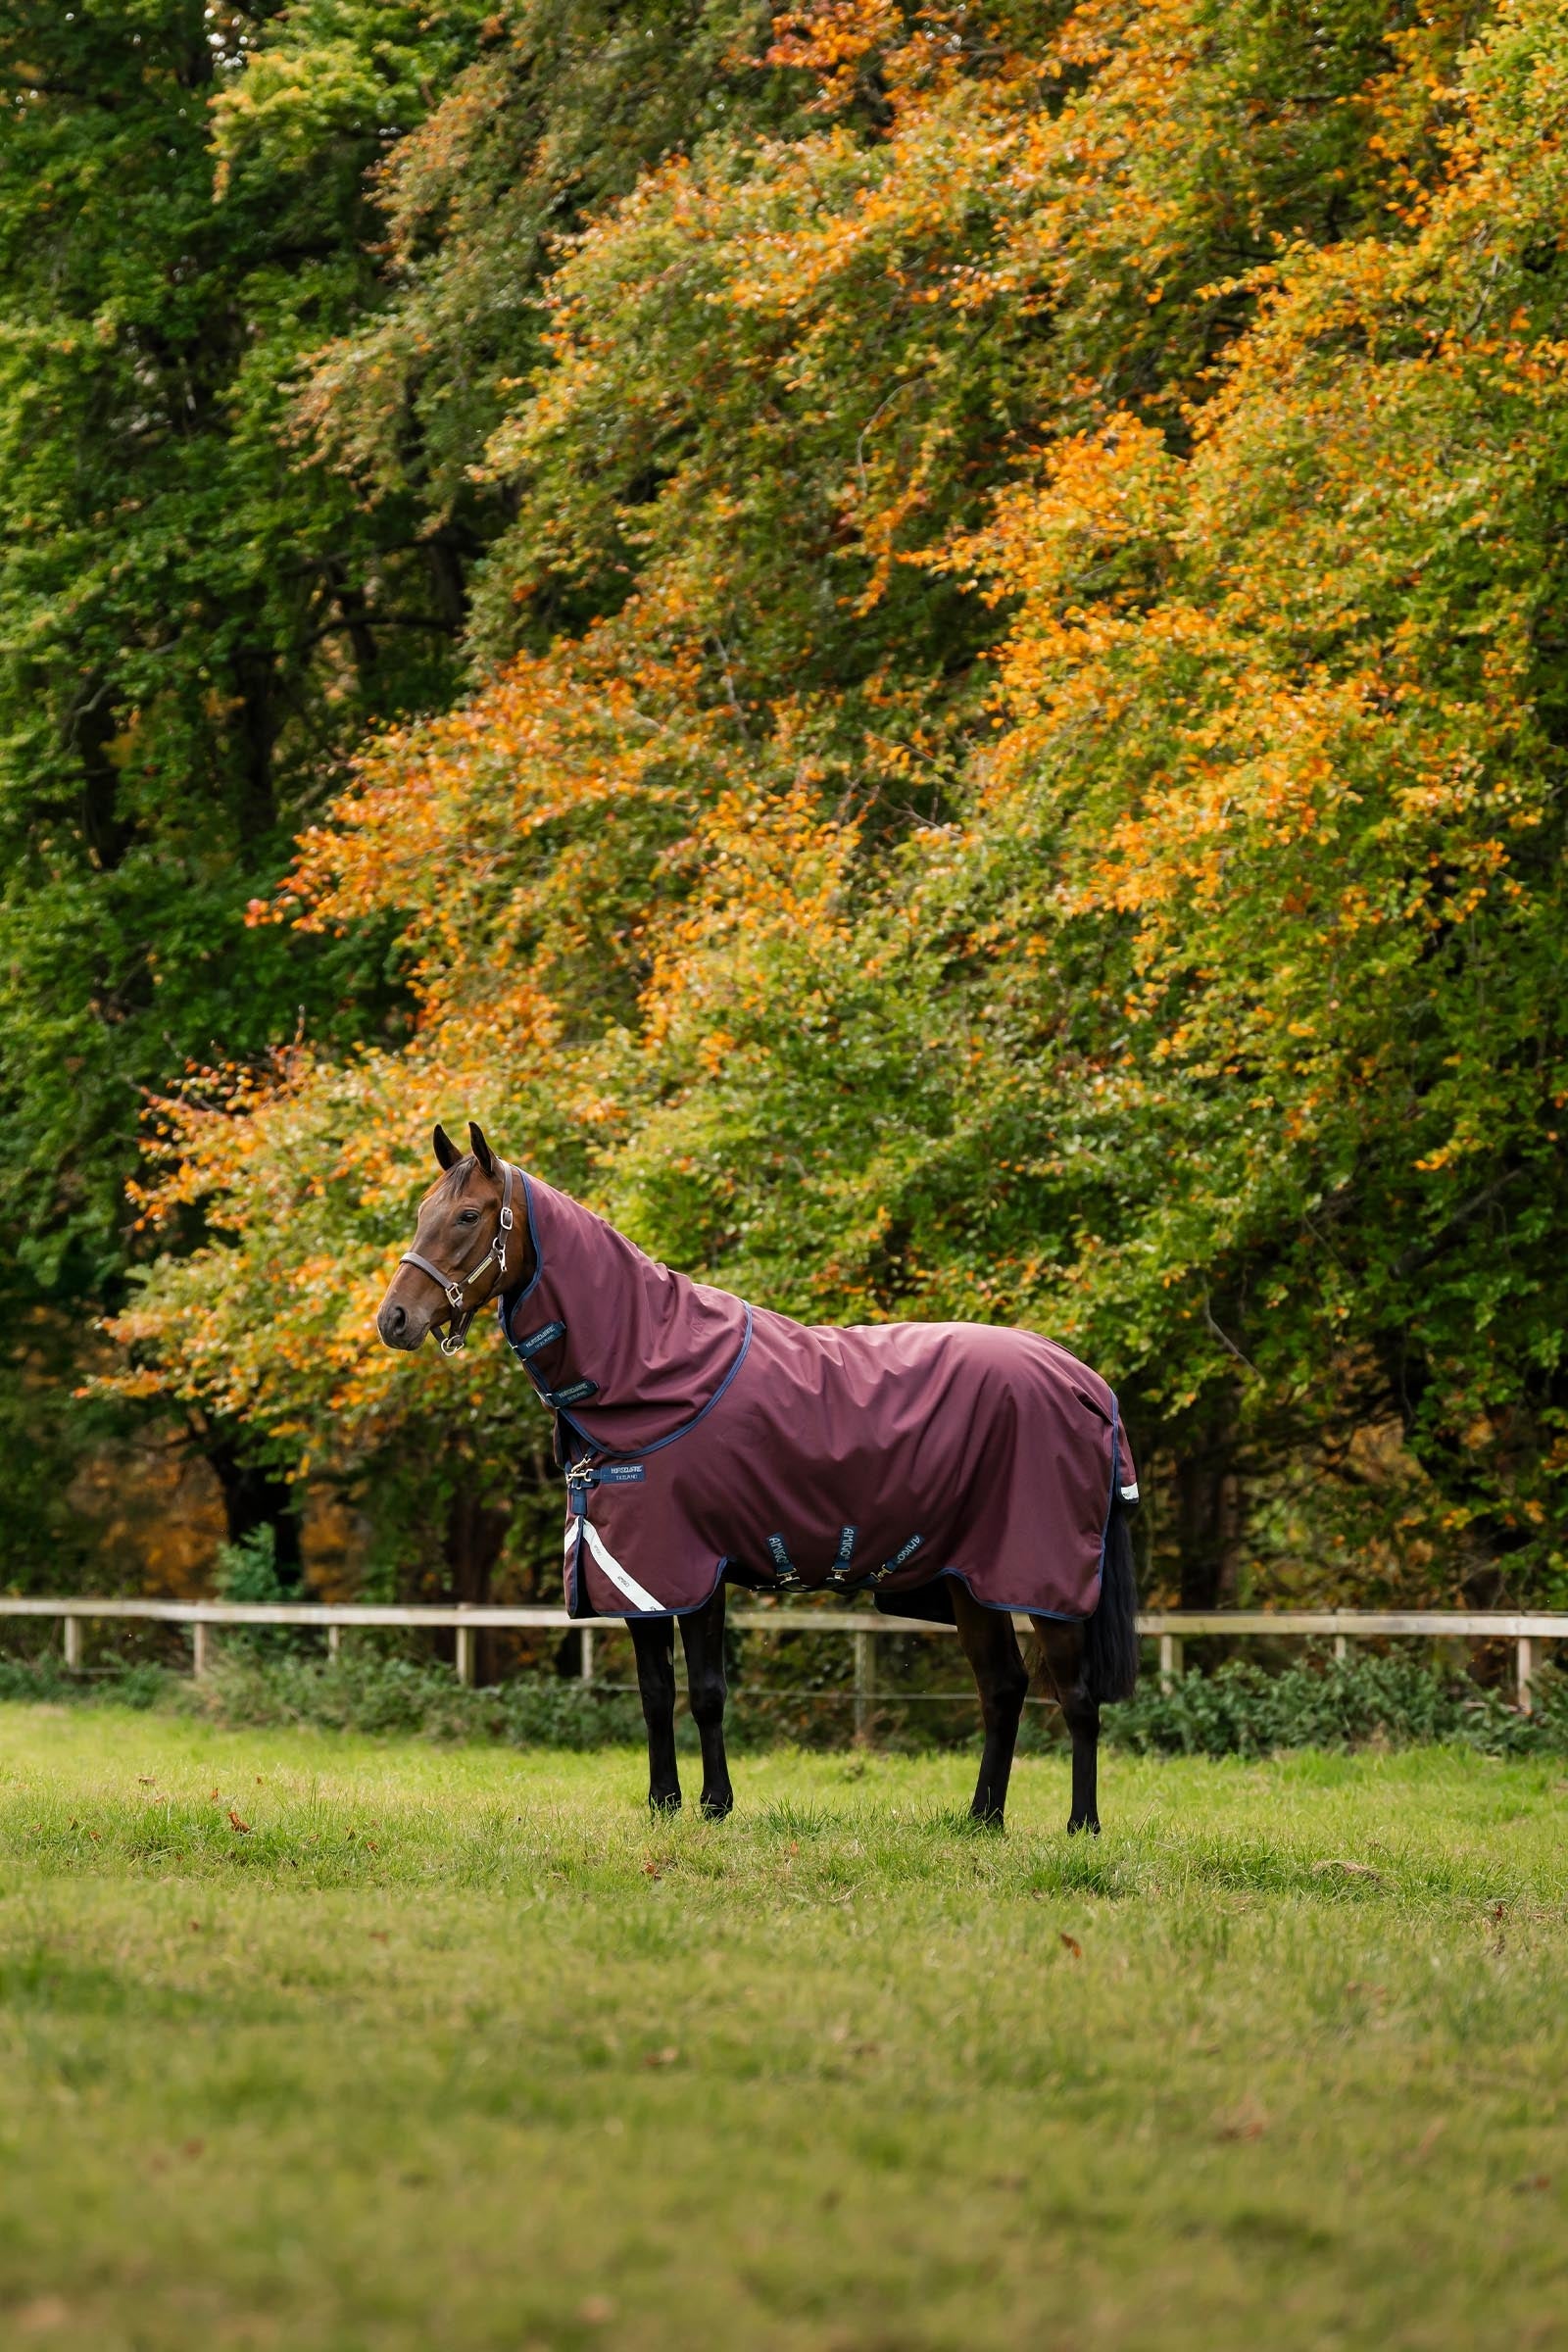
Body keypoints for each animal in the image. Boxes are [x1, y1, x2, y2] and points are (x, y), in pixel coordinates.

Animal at [376, 1121, 1140, 1832]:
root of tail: (1086, 1383)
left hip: (1042, 1580)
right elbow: (655, 1692)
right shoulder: (632, 1573)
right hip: (971, 1583)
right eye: (421, 1211)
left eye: (466, 1216)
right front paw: (663, 1804)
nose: (394, 1319)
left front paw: (714, 1805)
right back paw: (982, 1820)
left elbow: (708, 1691)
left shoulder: (691, 1567)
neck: (651, 1367)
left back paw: (1082, 1825)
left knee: (1075, 1697)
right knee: (1002, 1687)